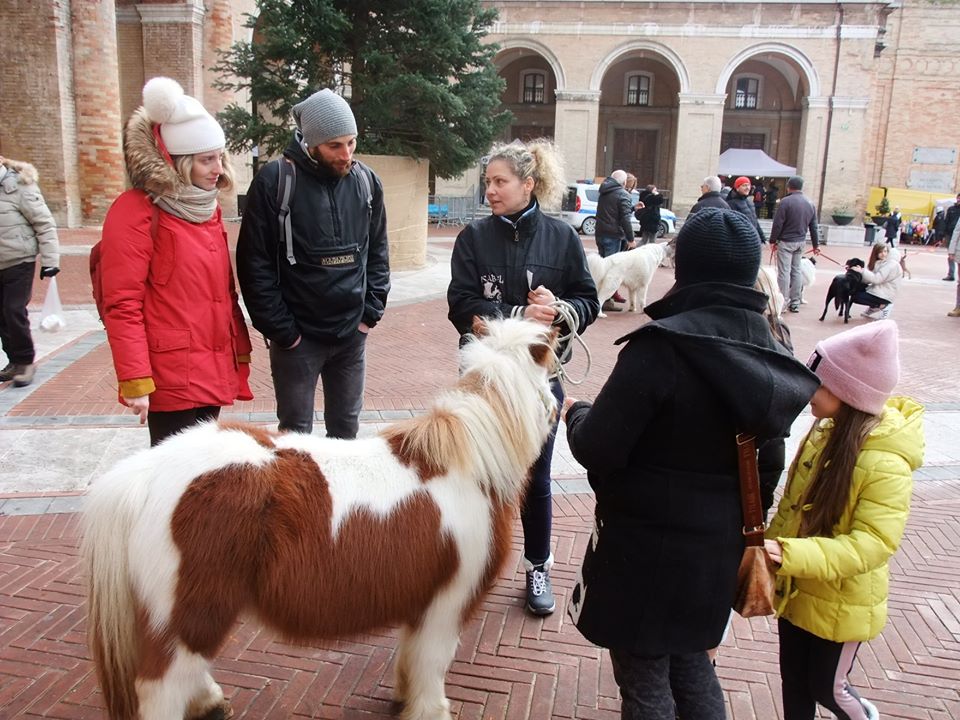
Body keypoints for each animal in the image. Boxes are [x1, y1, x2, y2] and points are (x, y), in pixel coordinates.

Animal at [84, 318, 564, 716]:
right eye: (551, 373)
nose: (557, 410)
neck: (464, 463)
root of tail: (145, 473)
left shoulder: (421, 602)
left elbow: (410, 659)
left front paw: (402, 696)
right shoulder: (444, 604)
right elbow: (431, 666)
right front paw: (427, 710)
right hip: (191, 615)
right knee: (160, 687)